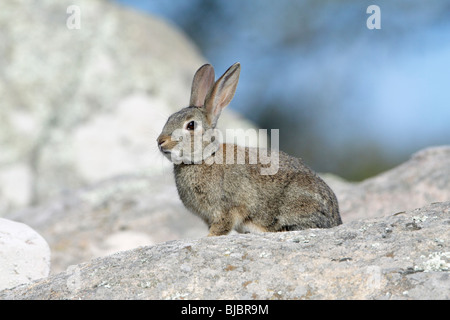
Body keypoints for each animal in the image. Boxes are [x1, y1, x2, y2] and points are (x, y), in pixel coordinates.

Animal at [157, 63, 342, 238]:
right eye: (169, 118)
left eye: (191, 125)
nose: (160, 141)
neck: (204, 158)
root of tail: (336, 219)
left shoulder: (227, 209)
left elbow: (221, 227)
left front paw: (208, 237)